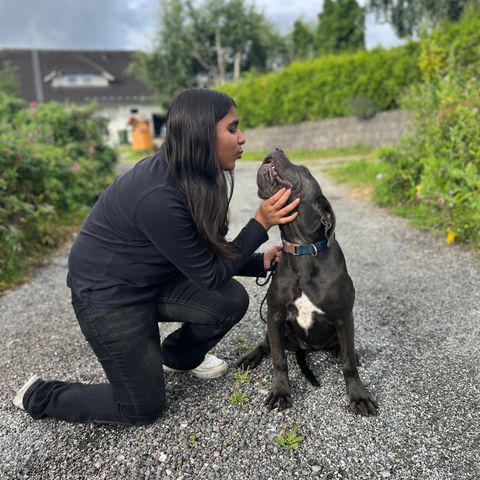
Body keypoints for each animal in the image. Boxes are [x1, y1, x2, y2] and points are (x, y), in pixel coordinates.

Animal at [238, 149, 376, 416]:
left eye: (304, 169)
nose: (276, 148)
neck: (302, 249)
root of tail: (308, 348)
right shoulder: (275, 315)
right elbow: (279, 360)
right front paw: (280, 392)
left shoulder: (344, 317)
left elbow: (349, 366)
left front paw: (358, 395)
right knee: (266, 345)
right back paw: (251, 357)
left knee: (343, 351)